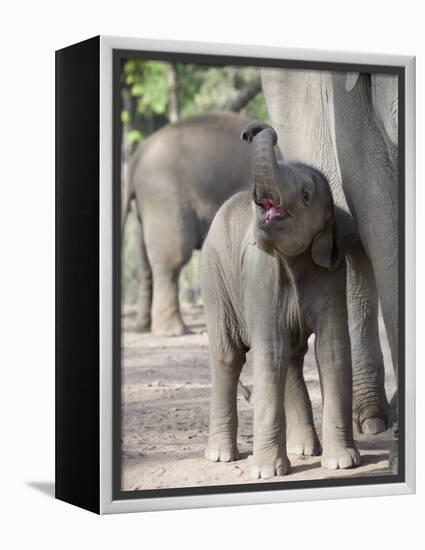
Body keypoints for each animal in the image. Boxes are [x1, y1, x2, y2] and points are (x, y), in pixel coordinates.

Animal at [121, 111, 252, 336]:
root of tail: (137, 157)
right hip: (164, 198)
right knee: (172, 260)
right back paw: (173, 331)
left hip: (145, 209)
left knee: (146, 261)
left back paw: (143, 327)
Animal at [200, 123, 360, 480]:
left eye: (306, 196)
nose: (251, 130)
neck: (293, 260)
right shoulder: (260, 274)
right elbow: (269, 348)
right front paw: (266, 473)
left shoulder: (332, 273)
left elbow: (332, 347)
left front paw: (343, 463)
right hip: (215, 276)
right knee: (229, 355)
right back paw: (220, 456)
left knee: (291, 355)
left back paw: (305, 450)